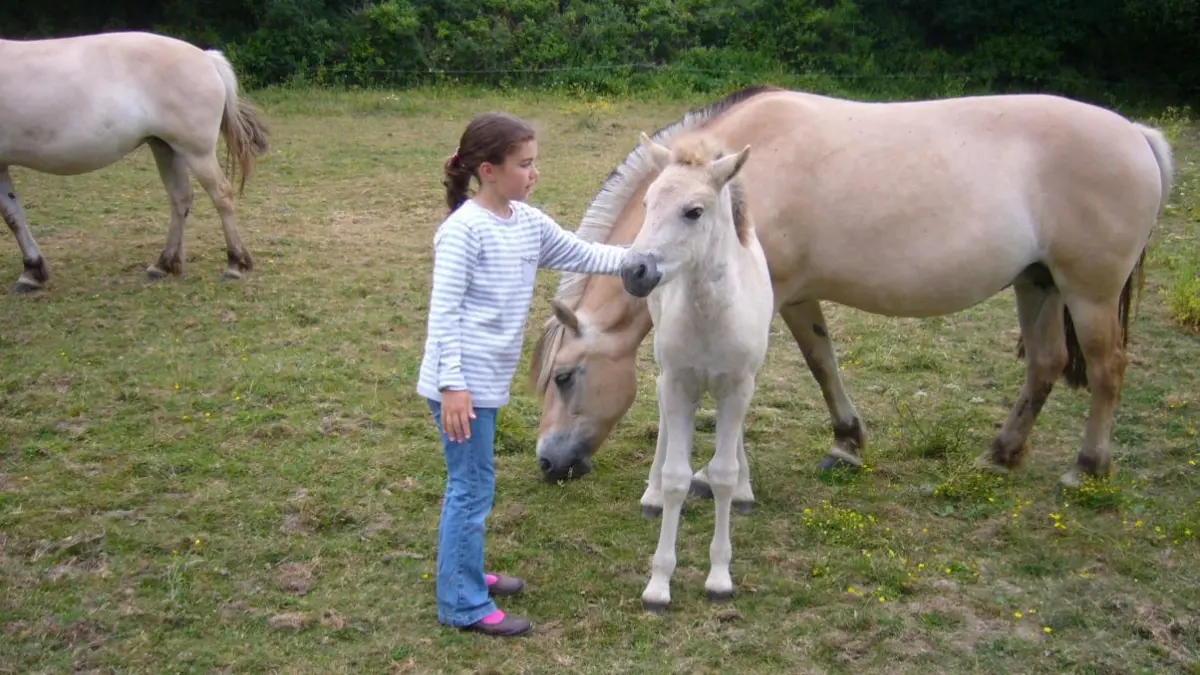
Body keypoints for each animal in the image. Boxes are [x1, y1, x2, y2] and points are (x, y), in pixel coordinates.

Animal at [1, 30, 270, 291]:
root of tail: (207, 58)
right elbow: (13, 216)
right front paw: (32, 271)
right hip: (165, 147)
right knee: (181, 198)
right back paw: (163, 264)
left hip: (197, 152)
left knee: (222, 195)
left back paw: (235, 264)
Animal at [535, 82, 1171, 494]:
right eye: (650, 204)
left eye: (565, 377)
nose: (547, 461)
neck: (743, 179)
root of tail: (1137, 134)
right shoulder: (797, 298)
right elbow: (823, 363)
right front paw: (845, 445)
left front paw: (709, 478)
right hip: (1039, 284)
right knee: (1045, 364)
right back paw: (1000, 456)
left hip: (1088, 293)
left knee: (1108, 368)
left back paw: (1087, 468)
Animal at [619, 131, 777, 610]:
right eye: (647, 202)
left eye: (694, 211)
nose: (633, 270)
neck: (710, 317)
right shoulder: (678, 382)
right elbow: (676, 477)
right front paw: (659, 583)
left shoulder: (738, 386)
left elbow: (722, 474)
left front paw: (719, 577)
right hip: (668, 374)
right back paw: (651, 494)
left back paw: (745, 489)